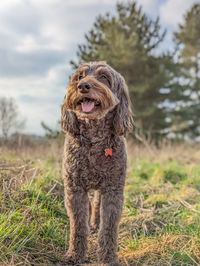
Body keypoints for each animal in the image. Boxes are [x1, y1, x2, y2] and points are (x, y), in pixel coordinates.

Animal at [61, 61, 133, 264]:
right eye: (79, 76)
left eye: (104, 77)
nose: (83, 86)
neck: (93, 140)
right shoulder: (75, 189)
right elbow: (78, 225)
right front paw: (75, 254)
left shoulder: (113, 190)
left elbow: (109, 227)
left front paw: (108, 257)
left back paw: (95, 222)